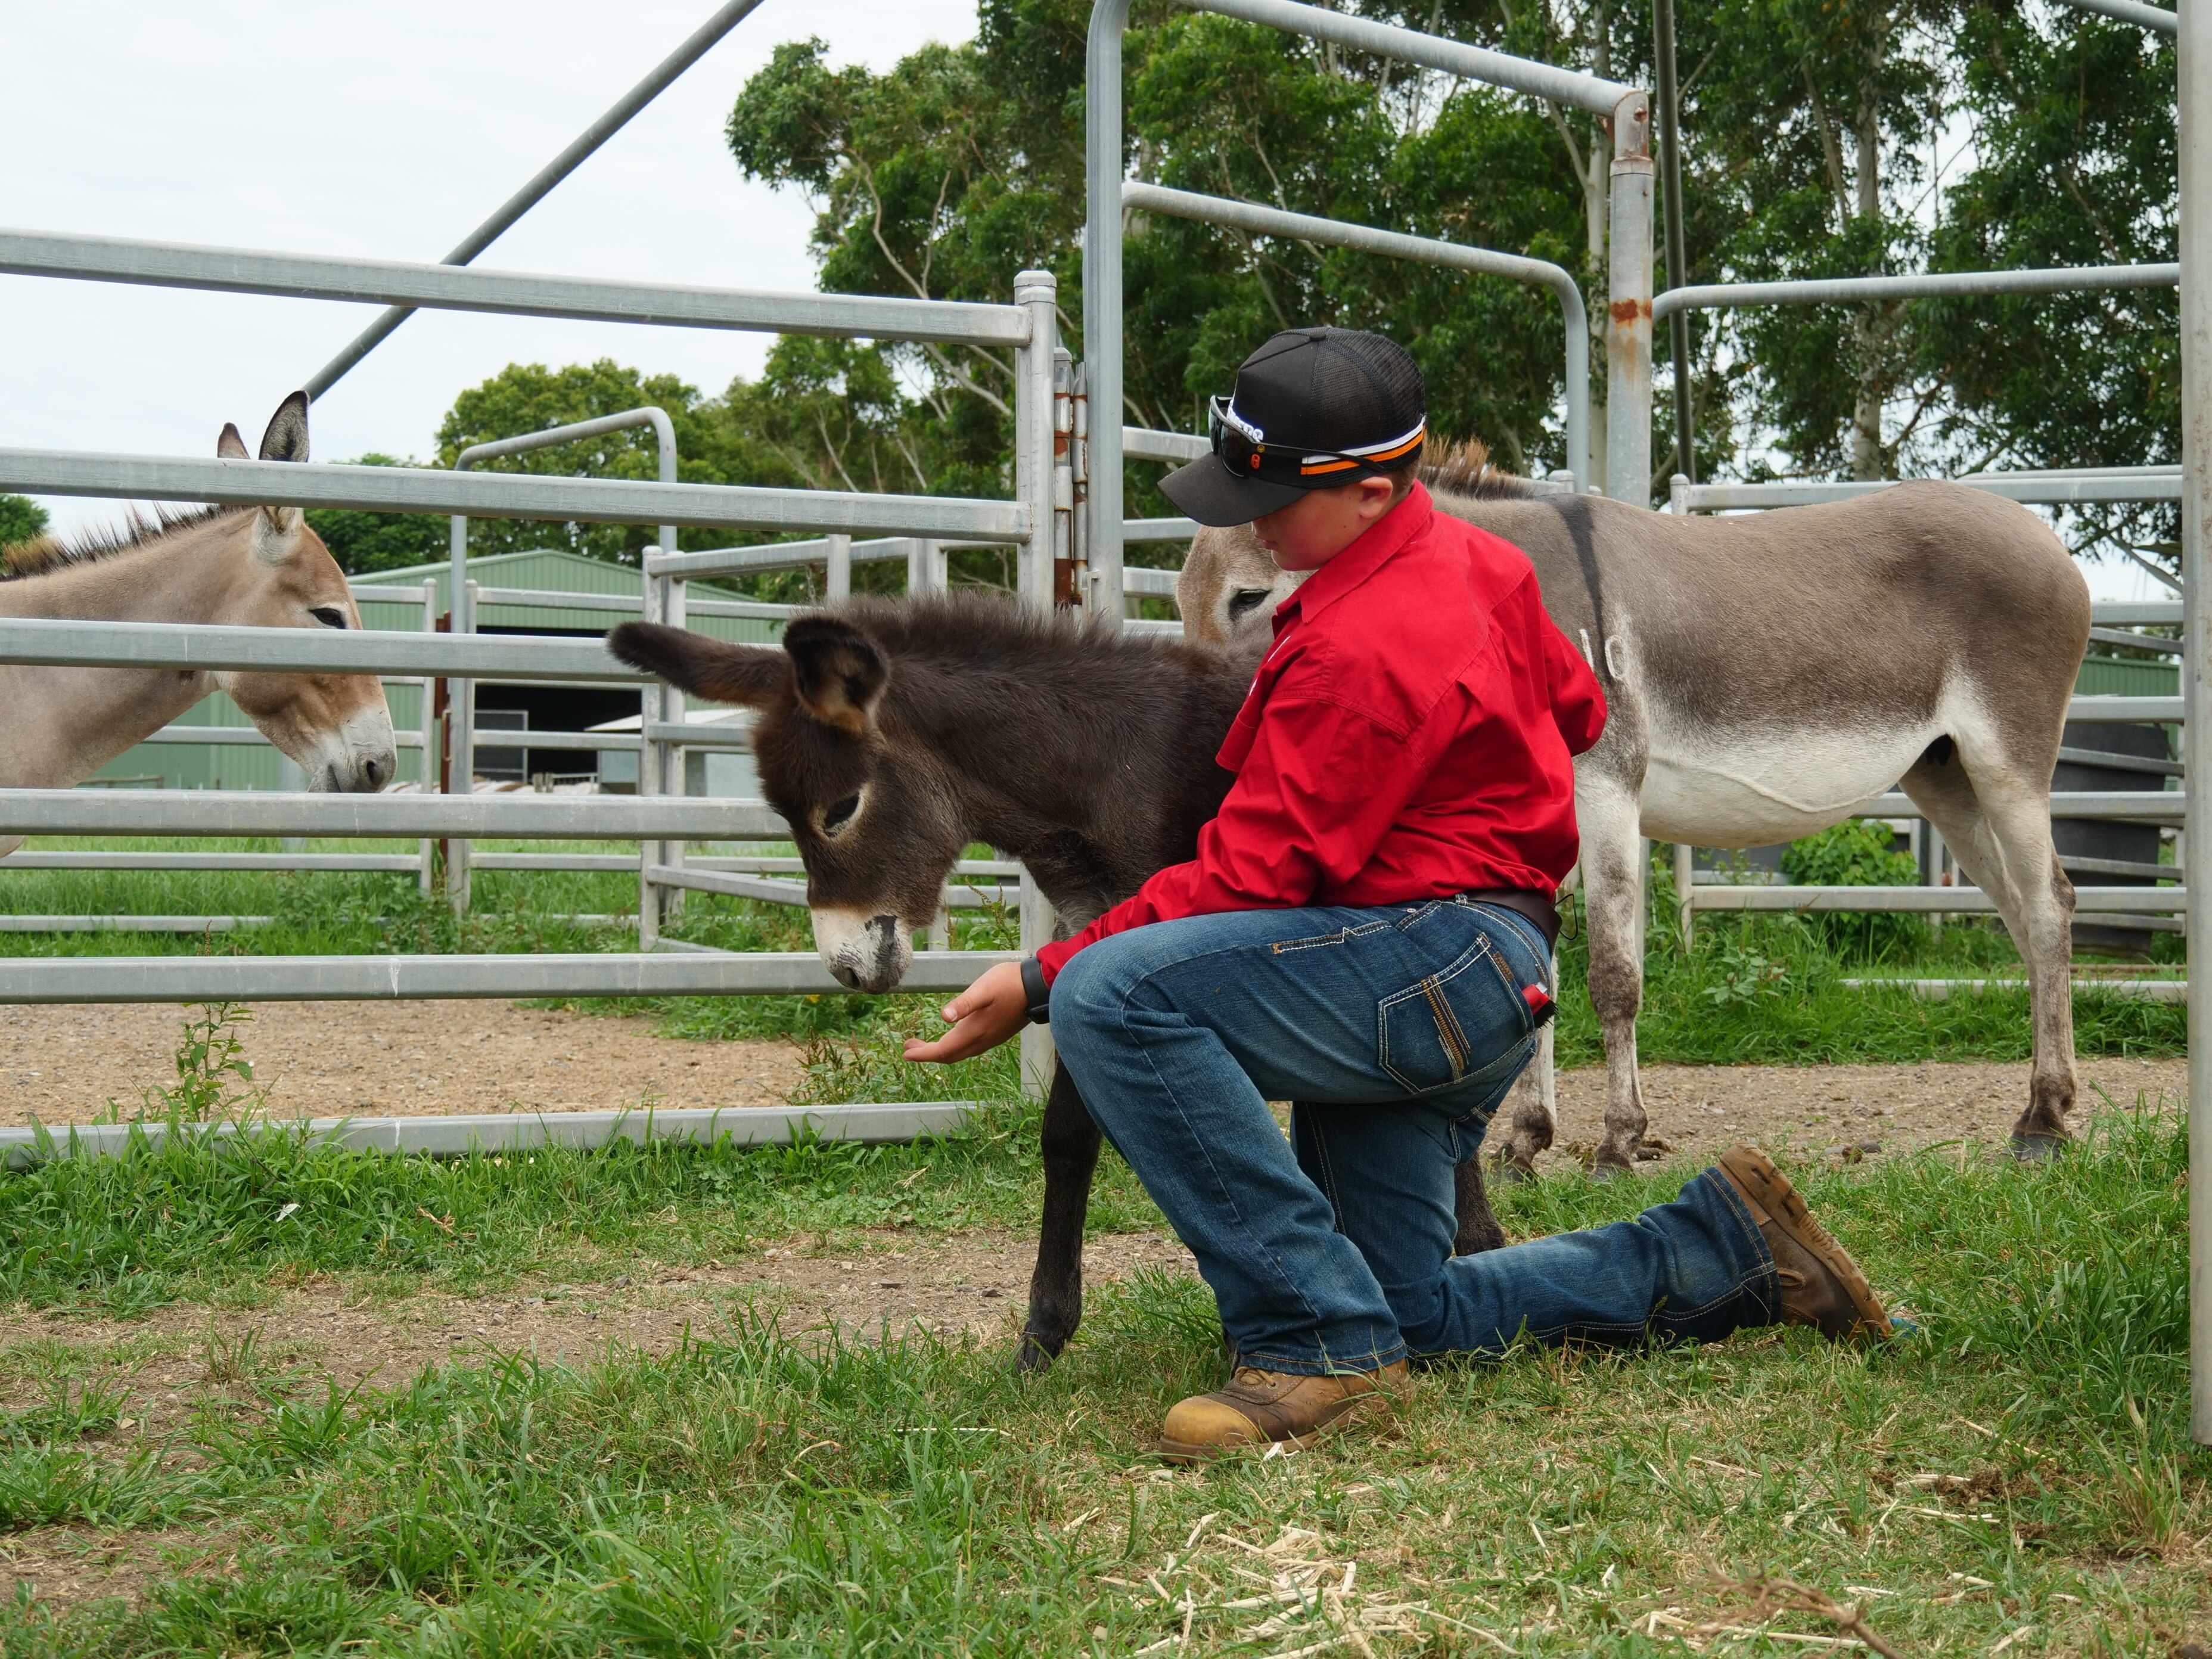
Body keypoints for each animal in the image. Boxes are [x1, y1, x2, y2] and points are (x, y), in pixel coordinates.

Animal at [1176, 442, 2093, 1177]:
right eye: (1183, 600)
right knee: (2025, 914)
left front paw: (1618, 1143)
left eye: (1252, 599)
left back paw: (2043, 1124)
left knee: (2049, 906)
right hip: (1945, 775)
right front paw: (1527, 1144)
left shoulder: (1606, 787)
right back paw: (2056, 1107)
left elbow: (1613, 978)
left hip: (2006, 763)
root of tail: (2041, 533)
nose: (1212, 749)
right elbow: (1539, 974)